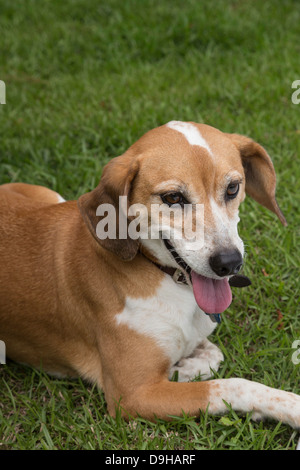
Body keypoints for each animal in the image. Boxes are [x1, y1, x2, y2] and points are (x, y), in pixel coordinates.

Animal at [0, 121, 300, 434]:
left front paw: (184, 367)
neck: (166, 276)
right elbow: (232, 386)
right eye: (173, 197)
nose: (229, 263)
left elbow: (213, 355)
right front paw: (292, 406)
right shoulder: (133, 396)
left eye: (232, 188)